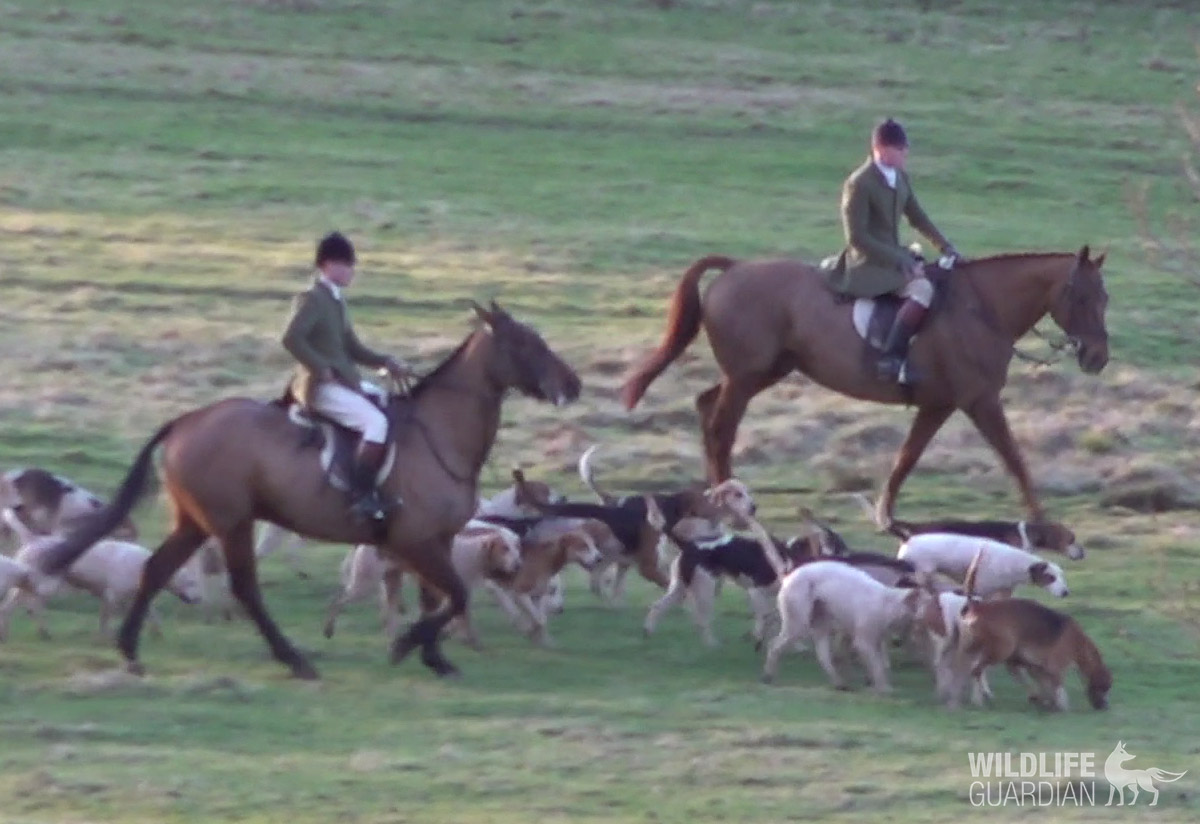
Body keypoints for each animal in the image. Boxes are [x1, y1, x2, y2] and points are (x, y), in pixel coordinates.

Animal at [49, 303, 583, 681]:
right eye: (526, 343)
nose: (573, 384)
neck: (439, 433)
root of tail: (186, 421)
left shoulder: (439, 538)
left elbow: (438, 598)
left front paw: (435, 658)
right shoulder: (414, 540)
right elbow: (453, 595)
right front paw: (406, 646)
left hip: (195, 522)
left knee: (157, 570)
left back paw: (130, 652)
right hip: (232, 522)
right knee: (244, 586)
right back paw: (294, 660)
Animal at [624, 248, 1108, 525]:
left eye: (1104, 298)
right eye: (1083, 296)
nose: (1097, 357)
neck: (981, 307)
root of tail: (736, 269)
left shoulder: (939, 405)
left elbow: (907, 458)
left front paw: (884, 513)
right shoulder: (980, 401)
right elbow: (1013, 458)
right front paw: (1041, 519)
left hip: (763, 372)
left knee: (707, 408)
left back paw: (719, 494)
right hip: (746, 377)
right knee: (722, 429)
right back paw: (732, 502)